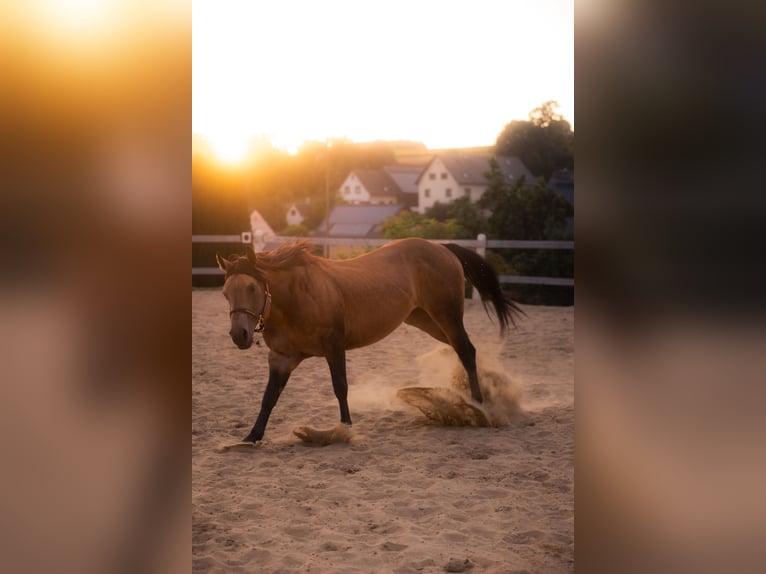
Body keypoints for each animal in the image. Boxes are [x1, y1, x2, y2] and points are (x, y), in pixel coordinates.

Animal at [216, 237, 522, 444]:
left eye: (252, 287)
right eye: (225, 292)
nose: (239, 335)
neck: (297, 297)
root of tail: (441, 247)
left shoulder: (334, 347)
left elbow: (340, 387)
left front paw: (344, 429)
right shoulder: (281, 358)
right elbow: (269, 397)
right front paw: (252, 436)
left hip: (446, 315)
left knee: (466, 351)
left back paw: (478, 405)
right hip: (425, 319)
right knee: (463, 349)